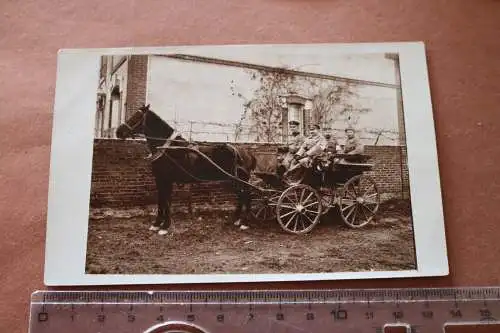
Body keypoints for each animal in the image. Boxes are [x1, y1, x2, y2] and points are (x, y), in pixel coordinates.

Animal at [114, 102, 256, 235]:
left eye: (136, 116)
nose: (118, 132)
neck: (168, 148)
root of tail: (246, 153)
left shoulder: (167, 180)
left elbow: (166, 202)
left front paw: (164, 226)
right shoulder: (160, 180)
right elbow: (161, 201)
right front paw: (157, 224)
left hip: (239, 181)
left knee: (247, 196)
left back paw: (244, 222)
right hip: (234, 181)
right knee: (241, 197)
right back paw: (236, 220)